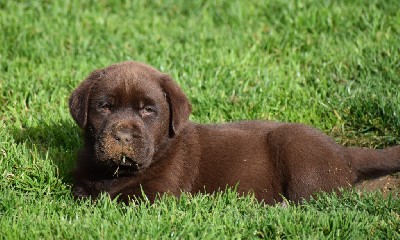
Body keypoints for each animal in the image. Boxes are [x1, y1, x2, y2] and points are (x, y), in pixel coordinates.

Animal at [70, 61, 400, 203]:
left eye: (148, 110)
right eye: (105, 107)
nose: (123, 136)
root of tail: (344, 152)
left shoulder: (159, 193)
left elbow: (120, 200)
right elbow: (83, 193)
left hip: (295, 147)